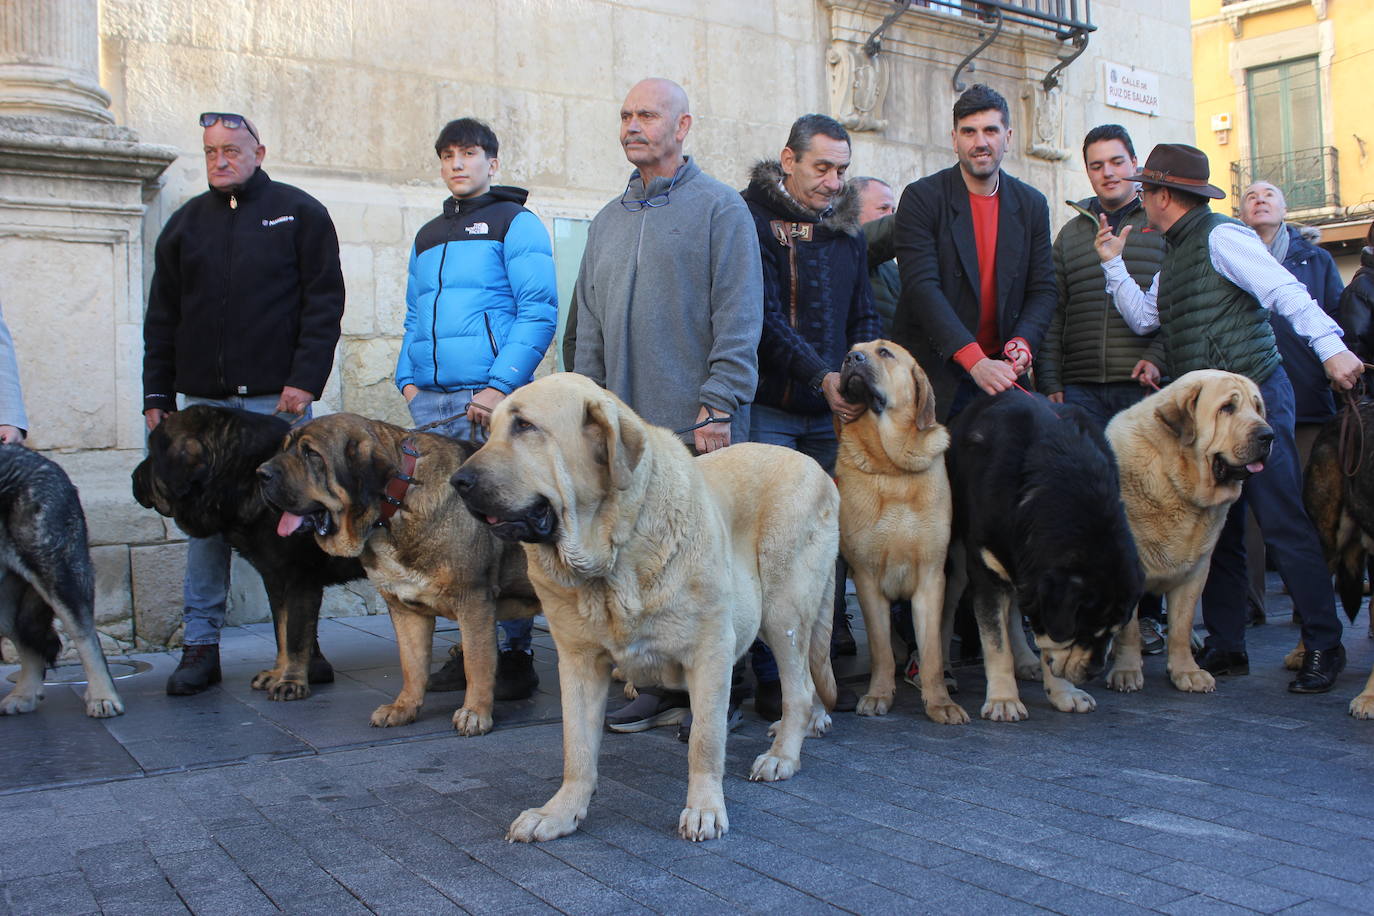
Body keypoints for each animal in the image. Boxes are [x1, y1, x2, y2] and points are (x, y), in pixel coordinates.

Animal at [129, 403, 362, 697]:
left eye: (153, 453)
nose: (133, 477)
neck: (240, 475)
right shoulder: (275, 577)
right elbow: (281, 630)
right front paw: (277, 673)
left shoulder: (300, 576)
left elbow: (296, 635)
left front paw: (291, 682)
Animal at [255, 411, 538, 736]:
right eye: (285, 447)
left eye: (311, 454)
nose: (260, 473)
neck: (398, 501)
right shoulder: (405, 608)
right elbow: (412, 663)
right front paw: (403, 708)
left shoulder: (473, 600)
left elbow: (477, 662)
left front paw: (475, 713)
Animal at [450, 373, 835, 845]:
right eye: (490, 431)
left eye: (525, 426)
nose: (457, 481)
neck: (612, 555)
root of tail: (818, 468)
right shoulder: (578, 662)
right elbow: (576, 747)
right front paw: (561, 812)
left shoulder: (710, 652)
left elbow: (705, 740)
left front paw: (704, 809)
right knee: (810, 679)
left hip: (783, 612)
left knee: (798, 687)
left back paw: (782, 754)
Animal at [829, 340, 961, 725]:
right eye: (852, 349)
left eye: (884, 352)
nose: (851, 358)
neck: (893, 468)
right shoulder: (867, 579)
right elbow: (880, 649)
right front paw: (878, 695)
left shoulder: (931, 578)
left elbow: (932, 651)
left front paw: (940, 702)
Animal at [945, 390, 1148, 719]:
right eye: (1083, 631)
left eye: (1113, 632)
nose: (1094, 671)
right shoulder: (987, 571)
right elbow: (996, 644)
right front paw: (1003, 700)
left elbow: (1047, 645)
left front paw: (1064, 693)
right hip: (956, 563)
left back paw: (1026, 660)